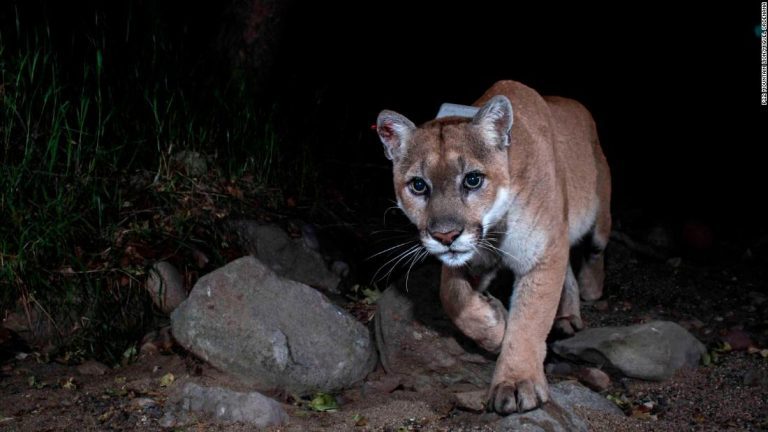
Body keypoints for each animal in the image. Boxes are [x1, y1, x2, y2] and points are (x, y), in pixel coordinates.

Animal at [376, 79, 608, 414]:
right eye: (418, 185)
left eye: (472, 180)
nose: (445, 235)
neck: (495, 228)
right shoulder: (470, 259)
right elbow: (452, 296)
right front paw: (495, 327)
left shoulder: (543, 253)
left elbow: (530, 319)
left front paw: (516, 381)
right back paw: (566, 316)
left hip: (598, 214)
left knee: (595, 249)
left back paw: (591, 288)